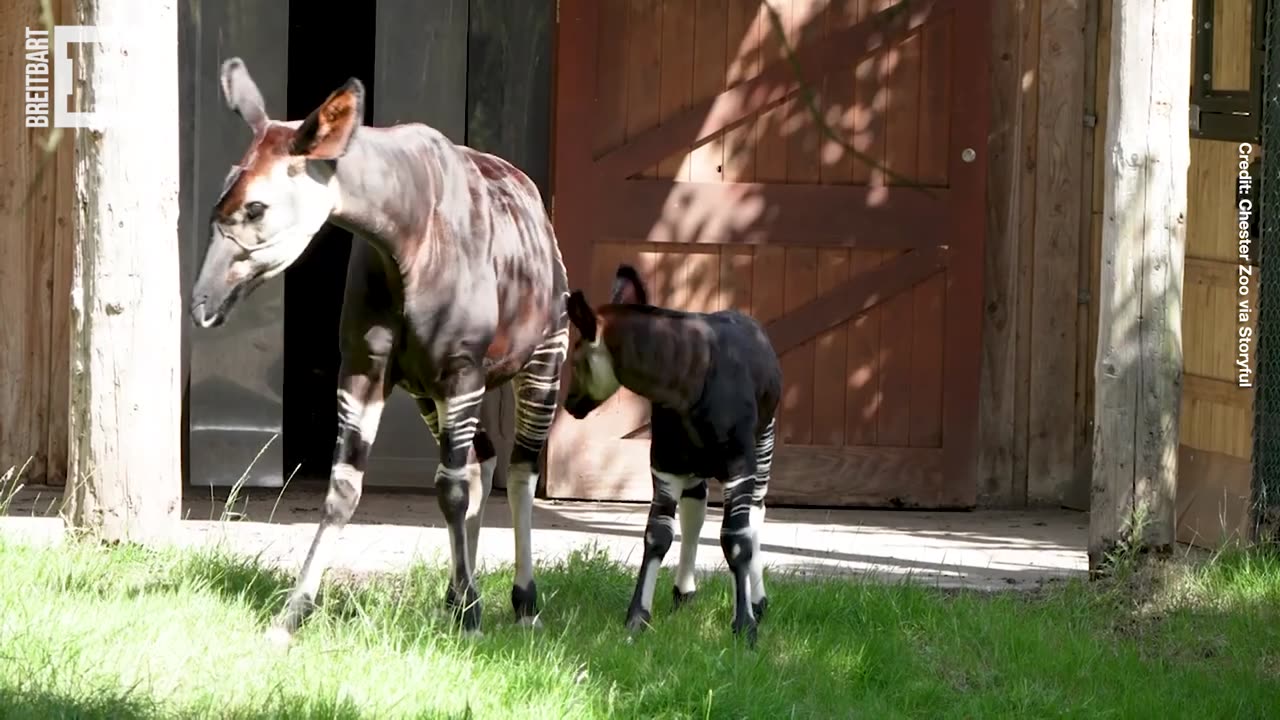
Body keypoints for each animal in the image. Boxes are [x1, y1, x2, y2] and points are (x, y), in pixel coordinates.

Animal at [189, 57, 570, 638]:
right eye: (220, 195)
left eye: (256, 207)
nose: (200, 304)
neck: (406, 237)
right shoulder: (366, 369)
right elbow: (343, 489)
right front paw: (291, 615)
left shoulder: (460, 371)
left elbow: (449, 489)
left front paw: (474, 618)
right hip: (429, 394)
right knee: (481, 460)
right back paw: (459, 593)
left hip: (545, 358)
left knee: (521, 469)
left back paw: (523, 602)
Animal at [563, 263, 778, 645]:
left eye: (575, 360)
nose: (569, 405)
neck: (685, 383)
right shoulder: (665, 465)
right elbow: (657, 536)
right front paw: (637, 618)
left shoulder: (739, 464)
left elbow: (735, 541)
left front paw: (745, 627)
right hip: (695, 466)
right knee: (696, 509)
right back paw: (684, 594)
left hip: (764, 438)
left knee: (755, 512)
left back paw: (759, 602)